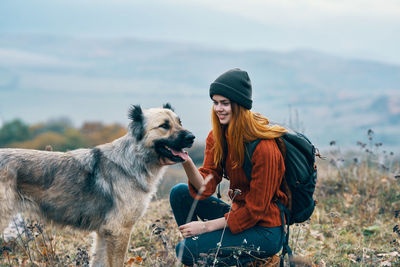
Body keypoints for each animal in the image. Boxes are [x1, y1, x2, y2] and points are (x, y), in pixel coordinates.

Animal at [0, 103, 194, 266]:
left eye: (179, 122)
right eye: (164, 126)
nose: (192, 137)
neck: (134, 158)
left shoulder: (104, 233)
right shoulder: (119, 231)